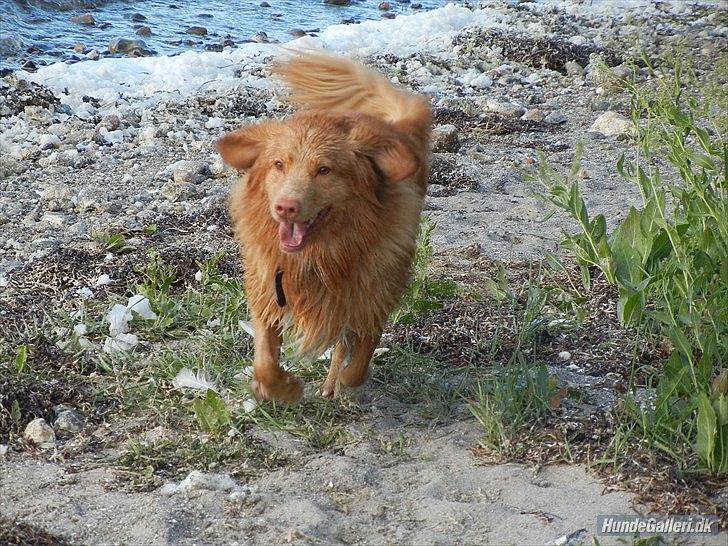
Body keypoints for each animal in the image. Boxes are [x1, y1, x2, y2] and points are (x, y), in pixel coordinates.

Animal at [219, 52, 430, 400]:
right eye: (279, 164)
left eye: (324, 170)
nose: (285, 207)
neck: (319, 254)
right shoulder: (267, 290)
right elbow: (264, 361)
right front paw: (284, 388)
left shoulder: (372, 295)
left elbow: (359, 359)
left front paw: (343, 381)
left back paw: (333, 383)